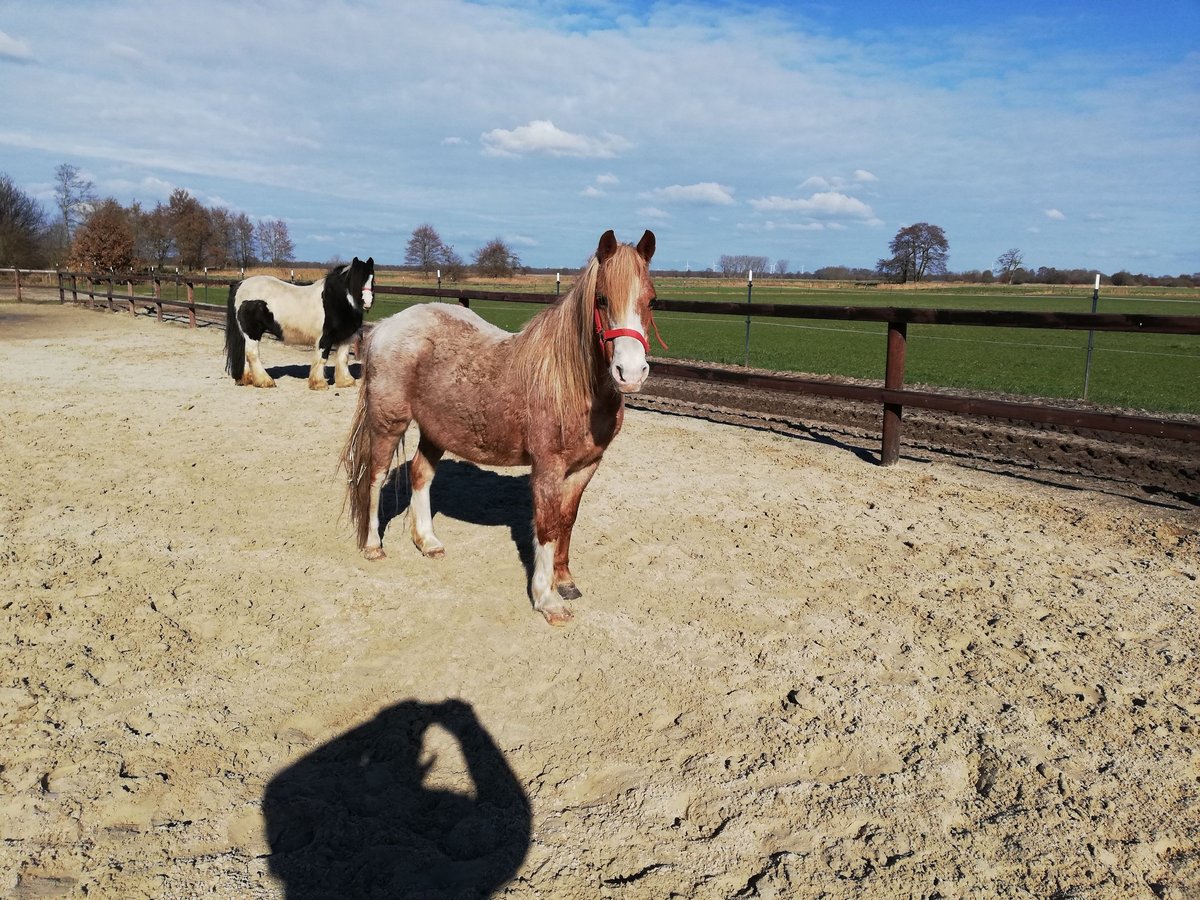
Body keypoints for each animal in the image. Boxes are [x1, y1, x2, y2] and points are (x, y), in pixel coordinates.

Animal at [225, 256, 374, 391]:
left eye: (372, 279)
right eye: (357, 280)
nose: (367, 302)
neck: (336, 300)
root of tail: (240, 284)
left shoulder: (345, 338)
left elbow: (343, 358)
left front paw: (346, 382)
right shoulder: (325, 338)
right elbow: (322, 358)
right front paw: (319, 384)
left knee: (245, 355)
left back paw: (247, 379)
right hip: (252, 332)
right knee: (252, 354)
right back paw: (264, 381)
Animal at [343, 230, 662, 628]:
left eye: (652, 299)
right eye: (602, 299)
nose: (630, 374)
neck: (569, 382)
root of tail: (385, 327)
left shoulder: (586, 467)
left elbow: (567, 521)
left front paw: (565, 581)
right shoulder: (548, 467)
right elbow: (547, 526)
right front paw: (547, 600)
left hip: (436, 429)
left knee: (420, 474)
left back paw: (428, 542)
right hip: (389, 422)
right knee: (374, 475)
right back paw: (373, 546)